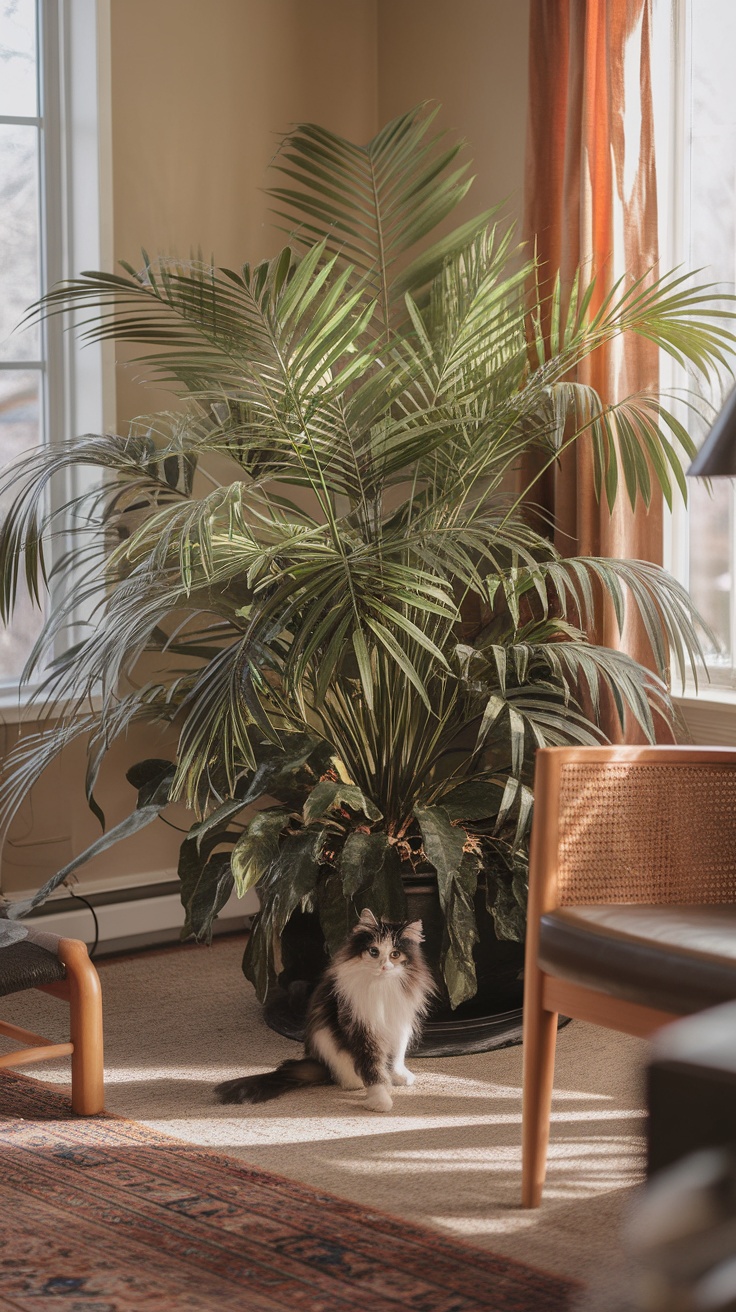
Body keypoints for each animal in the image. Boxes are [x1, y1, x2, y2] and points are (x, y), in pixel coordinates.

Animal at [215, 907, 438, 1112]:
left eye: (395, 954)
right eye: (374, 952)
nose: (384, 966)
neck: (382, 987)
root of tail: (320, 1064)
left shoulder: (400, 1024)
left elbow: (397, 1058)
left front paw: (398, 1076)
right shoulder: (362, 1029)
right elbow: (373, 1068)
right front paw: (380, 1101)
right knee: (348, 1078)